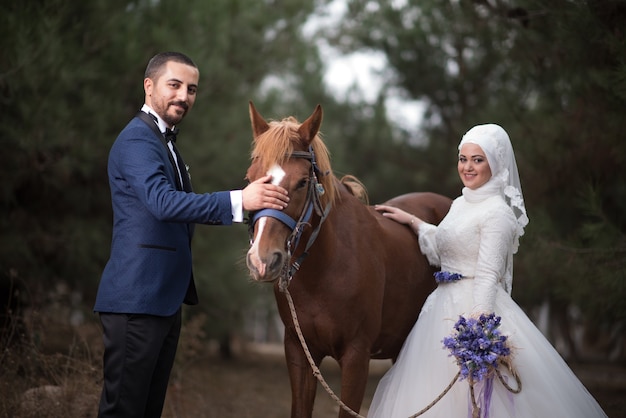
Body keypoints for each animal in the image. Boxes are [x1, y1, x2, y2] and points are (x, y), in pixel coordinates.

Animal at [243, 102, 448, 418]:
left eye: (302, 182)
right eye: (251, 179)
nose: (263, 260)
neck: (324, 271)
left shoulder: (356, 357)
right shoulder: (299, 353)